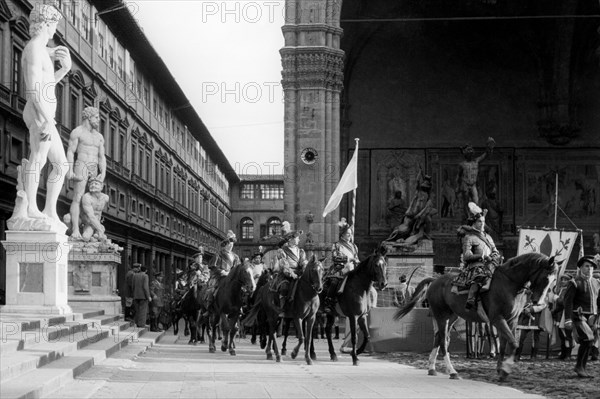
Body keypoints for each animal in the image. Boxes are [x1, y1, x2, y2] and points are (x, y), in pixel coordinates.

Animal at [394, 253, 556, 382]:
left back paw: (432, 368)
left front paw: (500, 369)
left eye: (553, 280)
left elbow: (505, 345)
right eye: (545, 277)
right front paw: (505, 370)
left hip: (451, 317)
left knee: (439, 338)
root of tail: (434, 280)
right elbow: (513, 343)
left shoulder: (512, 320)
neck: (509, 284)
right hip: (441, 316)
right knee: (443, 341)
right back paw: (452, 372)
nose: (538, 302)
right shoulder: (497, 319)